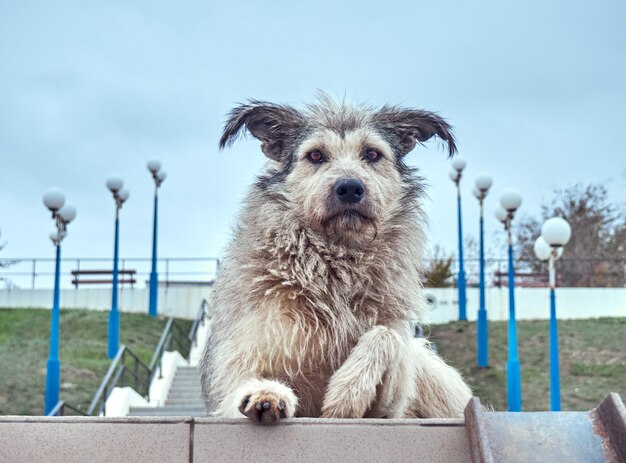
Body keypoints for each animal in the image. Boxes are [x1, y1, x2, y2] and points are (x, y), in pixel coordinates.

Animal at [200, 95, 468, 424]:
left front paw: (346, 393)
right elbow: (244, 381)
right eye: (315, 155)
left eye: (372, 154)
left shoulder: (389, 409)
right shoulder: (241, 359)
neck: (335, 262)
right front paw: (265, 392)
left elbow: (385, 336)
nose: (350, 187)